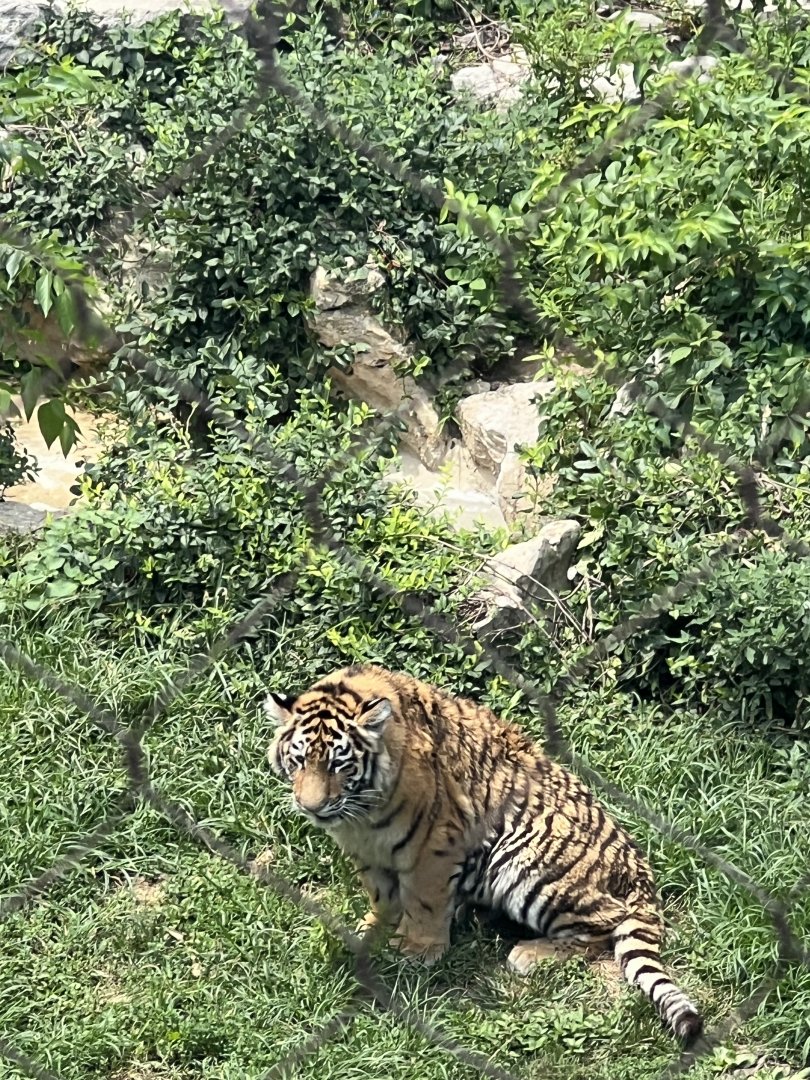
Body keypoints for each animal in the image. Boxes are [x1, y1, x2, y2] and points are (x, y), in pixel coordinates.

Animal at [265, 663, 703, 1042]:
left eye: (339, 764)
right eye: (299, 759)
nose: (311, 807)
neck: (361, 815)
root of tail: (638, 864)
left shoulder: (434, 843)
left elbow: (422, 901)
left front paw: (417, 950)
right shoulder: (366, 849)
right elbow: (381, 896)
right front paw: (375, 929)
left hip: (524, 862)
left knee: (605, 922)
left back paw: (528, 953)